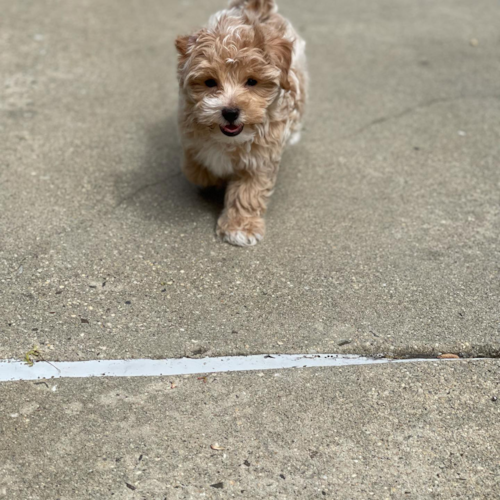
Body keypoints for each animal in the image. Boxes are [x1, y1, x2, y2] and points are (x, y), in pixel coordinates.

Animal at [176, 0, 308, 246]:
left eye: (252, 82)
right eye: (210, 82)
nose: (230, 112)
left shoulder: (260, 158)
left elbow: (248, 192)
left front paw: (239, 227)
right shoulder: (189, 133)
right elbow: (195, 167)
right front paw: (210, 178)